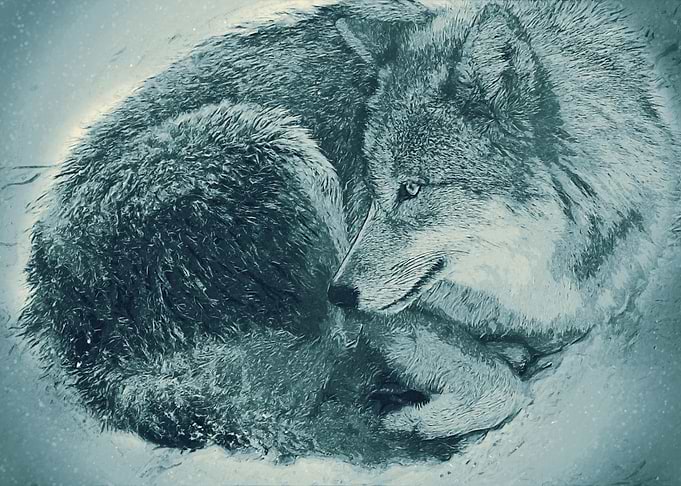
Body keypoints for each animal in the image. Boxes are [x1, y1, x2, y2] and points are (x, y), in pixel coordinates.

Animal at [329, 1, 680, 439]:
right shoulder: (383, 320)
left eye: (411, 188)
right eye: (374, 187)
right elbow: (504, 387)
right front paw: (411, 419)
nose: (336, 295)